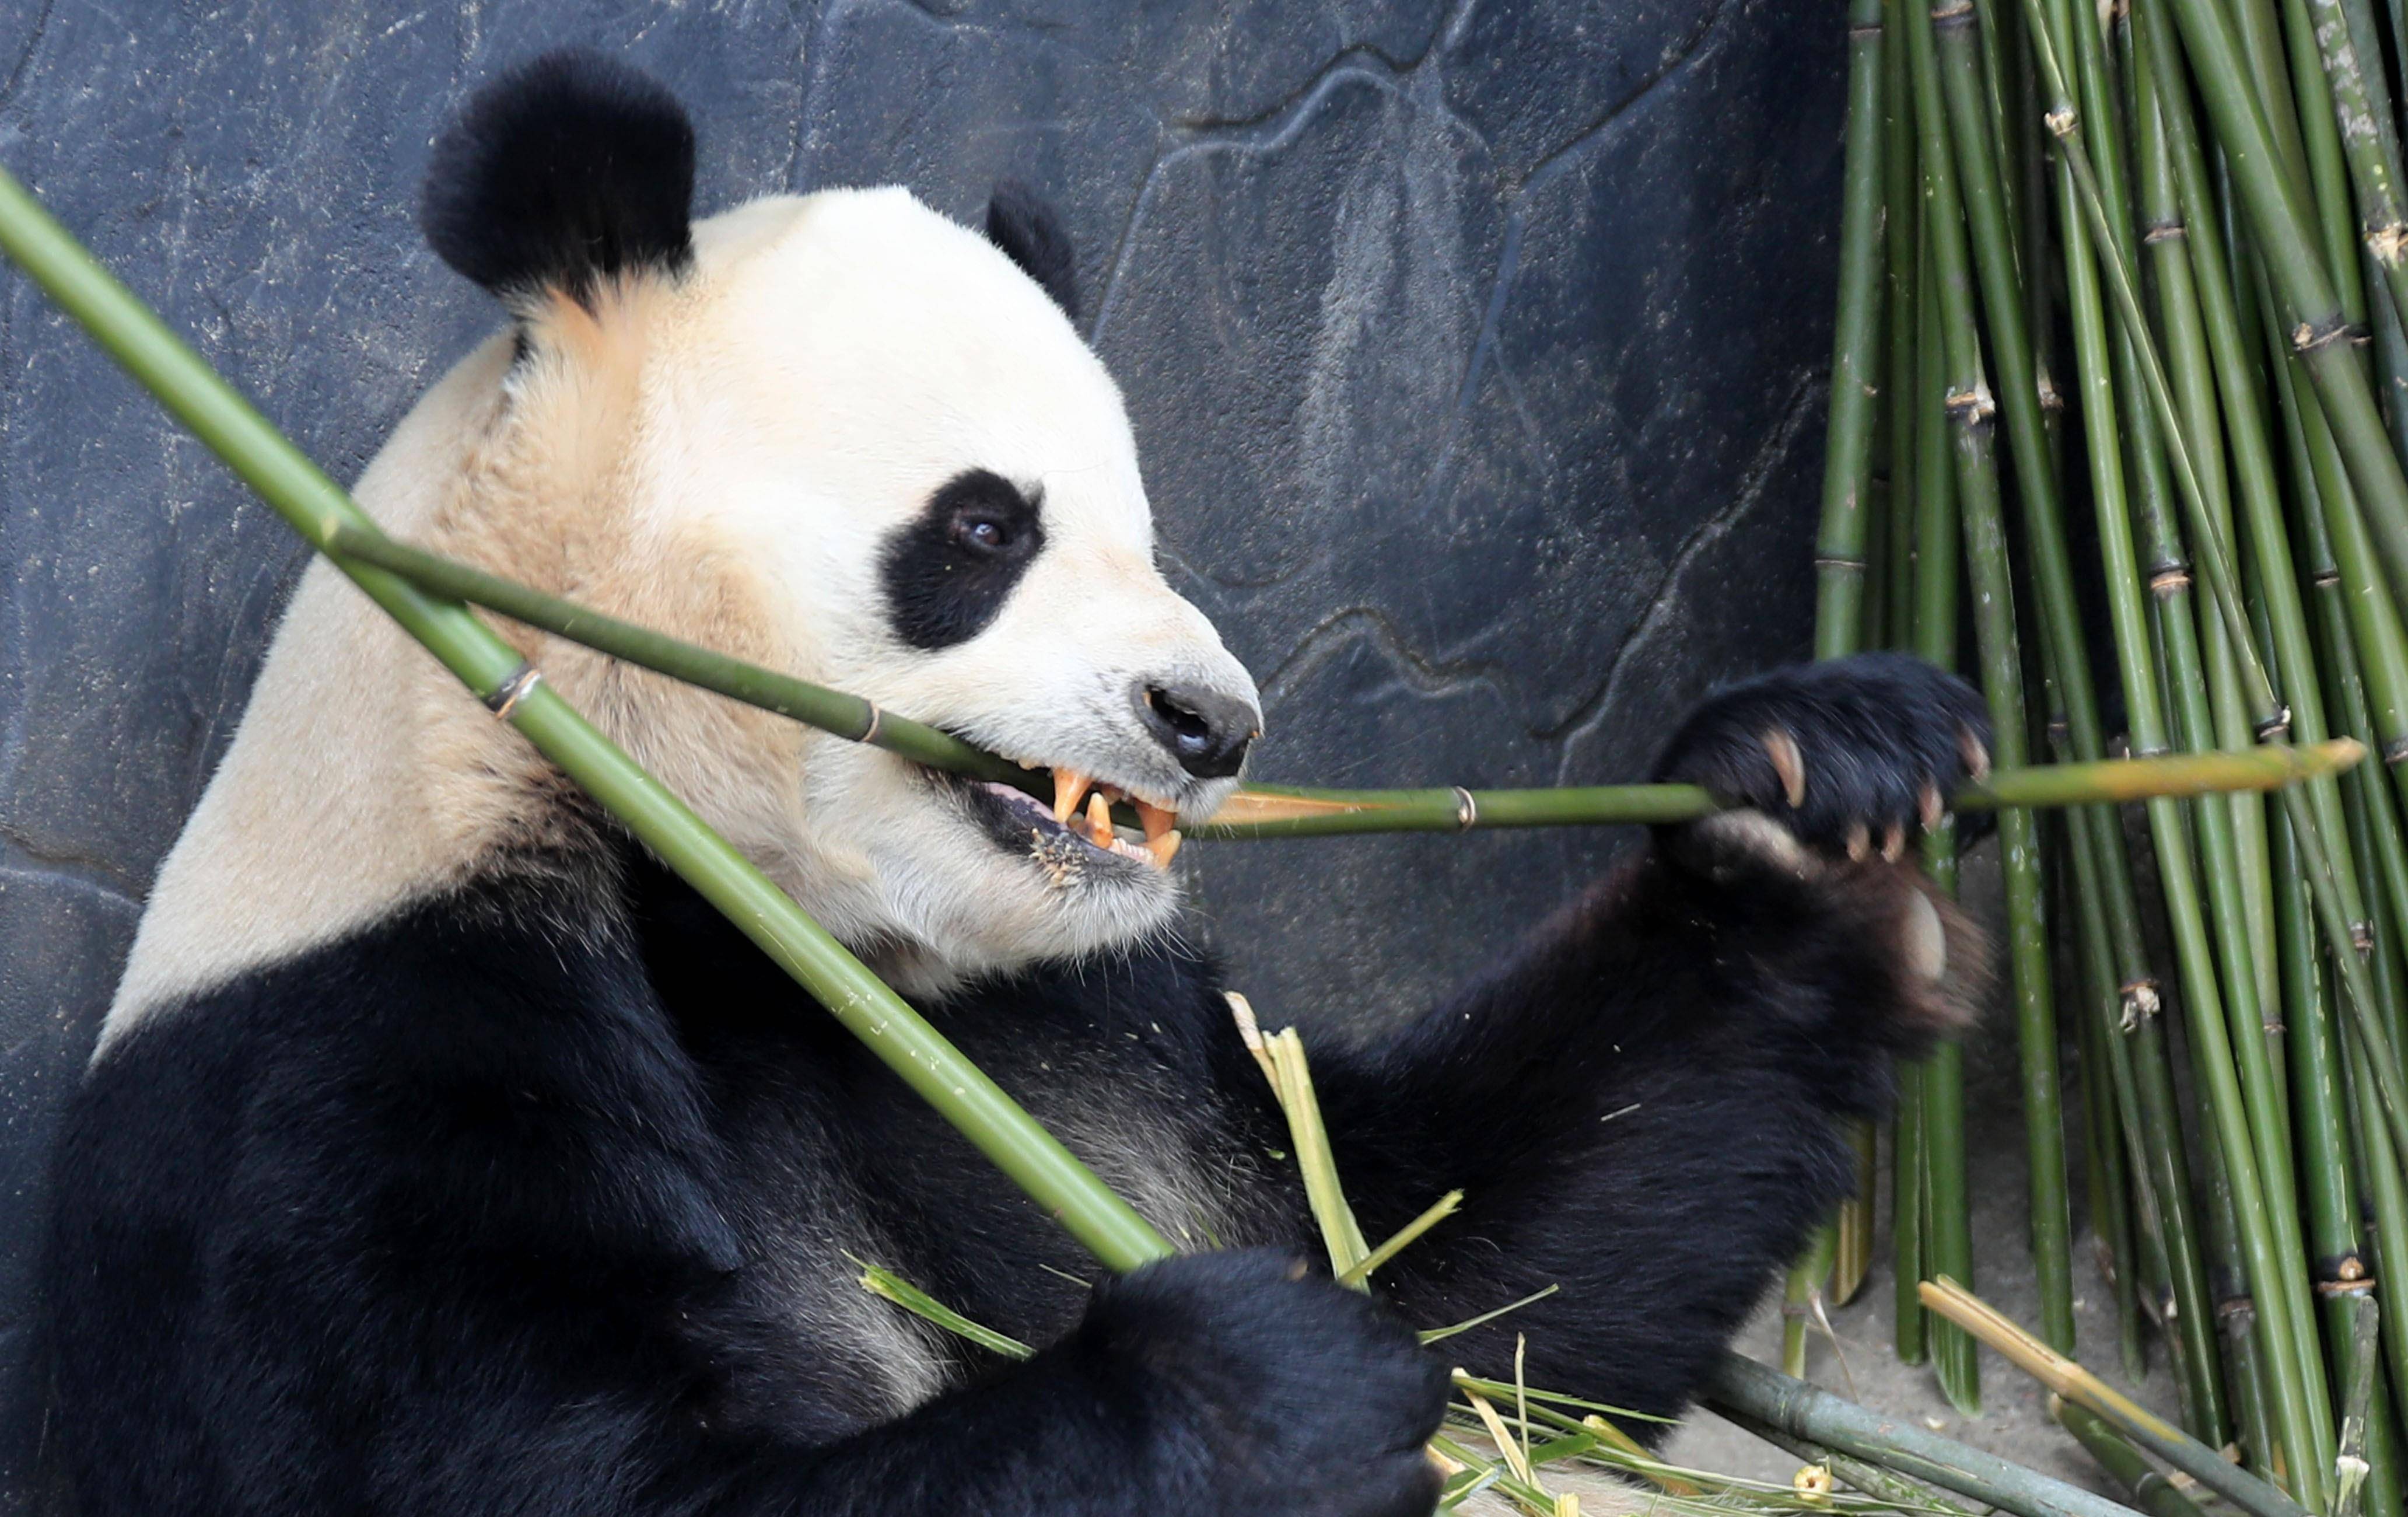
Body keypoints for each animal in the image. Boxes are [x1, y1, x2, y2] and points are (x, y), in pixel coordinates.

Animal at [42, 47, 1993, 1517]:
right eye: (984, 530)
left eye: (1145, 529)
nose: (1212, 721)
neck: (735, 905)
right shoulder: (371, 1061)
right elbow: (568, 1466)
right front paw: (1258, 1392)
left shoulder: (1087, 1025)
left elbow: (1459, 1259)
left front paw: (1814, 789)